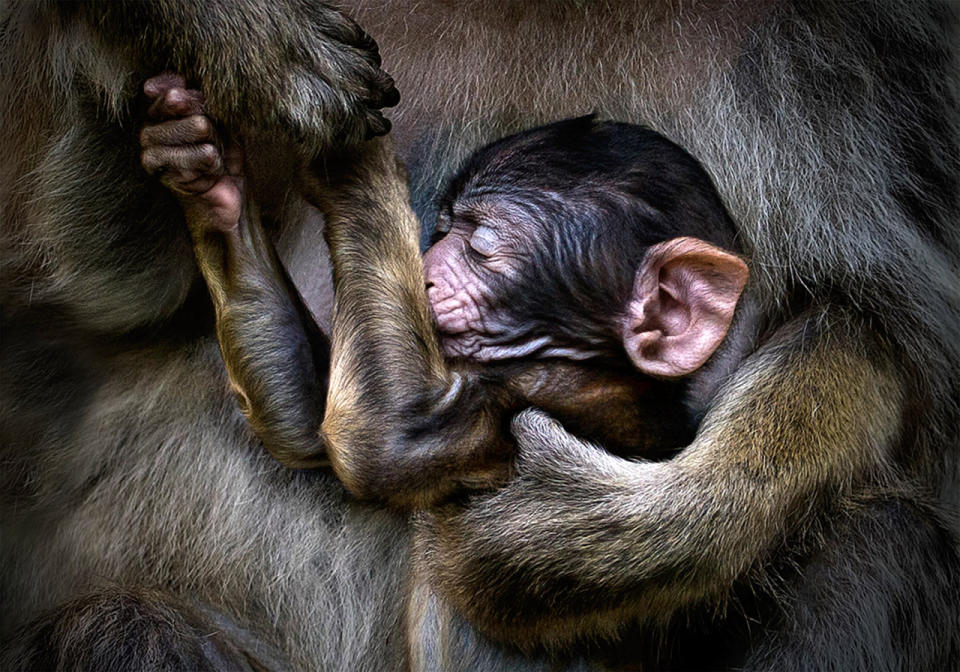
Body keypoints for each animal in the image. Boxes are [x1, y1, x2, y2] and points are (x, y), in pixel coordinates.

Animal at [141, 76, 752, 506]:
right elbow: (312, 420)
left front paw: (349, 159)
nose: (425, 271)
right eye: (442, 230)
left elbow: (391, 442)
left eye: (479, 243)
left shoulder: (564, 392)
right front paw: (204, 170)